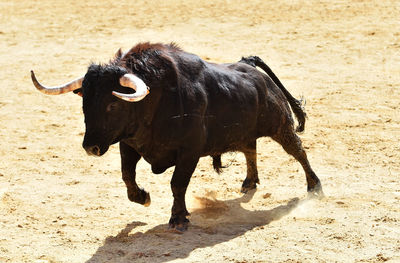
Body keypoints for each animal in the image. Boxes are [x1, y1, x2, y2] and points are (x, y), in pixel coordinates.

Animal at [32, 42, 324, 231]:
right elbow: (128, 177)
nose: (90, 147)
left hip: (280, 126)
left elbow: (177, 183)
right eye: (85, 102)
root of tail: (247, 65)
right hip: (244, 132)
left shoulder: (189, 152)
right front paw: (143, 197)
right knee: (250, 148)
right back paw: (249, 182)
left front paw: (179, 218)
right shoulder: (128, 144)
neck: (155, 101)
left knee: (298, 151)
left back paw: (315, 187)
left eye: (113, 104)